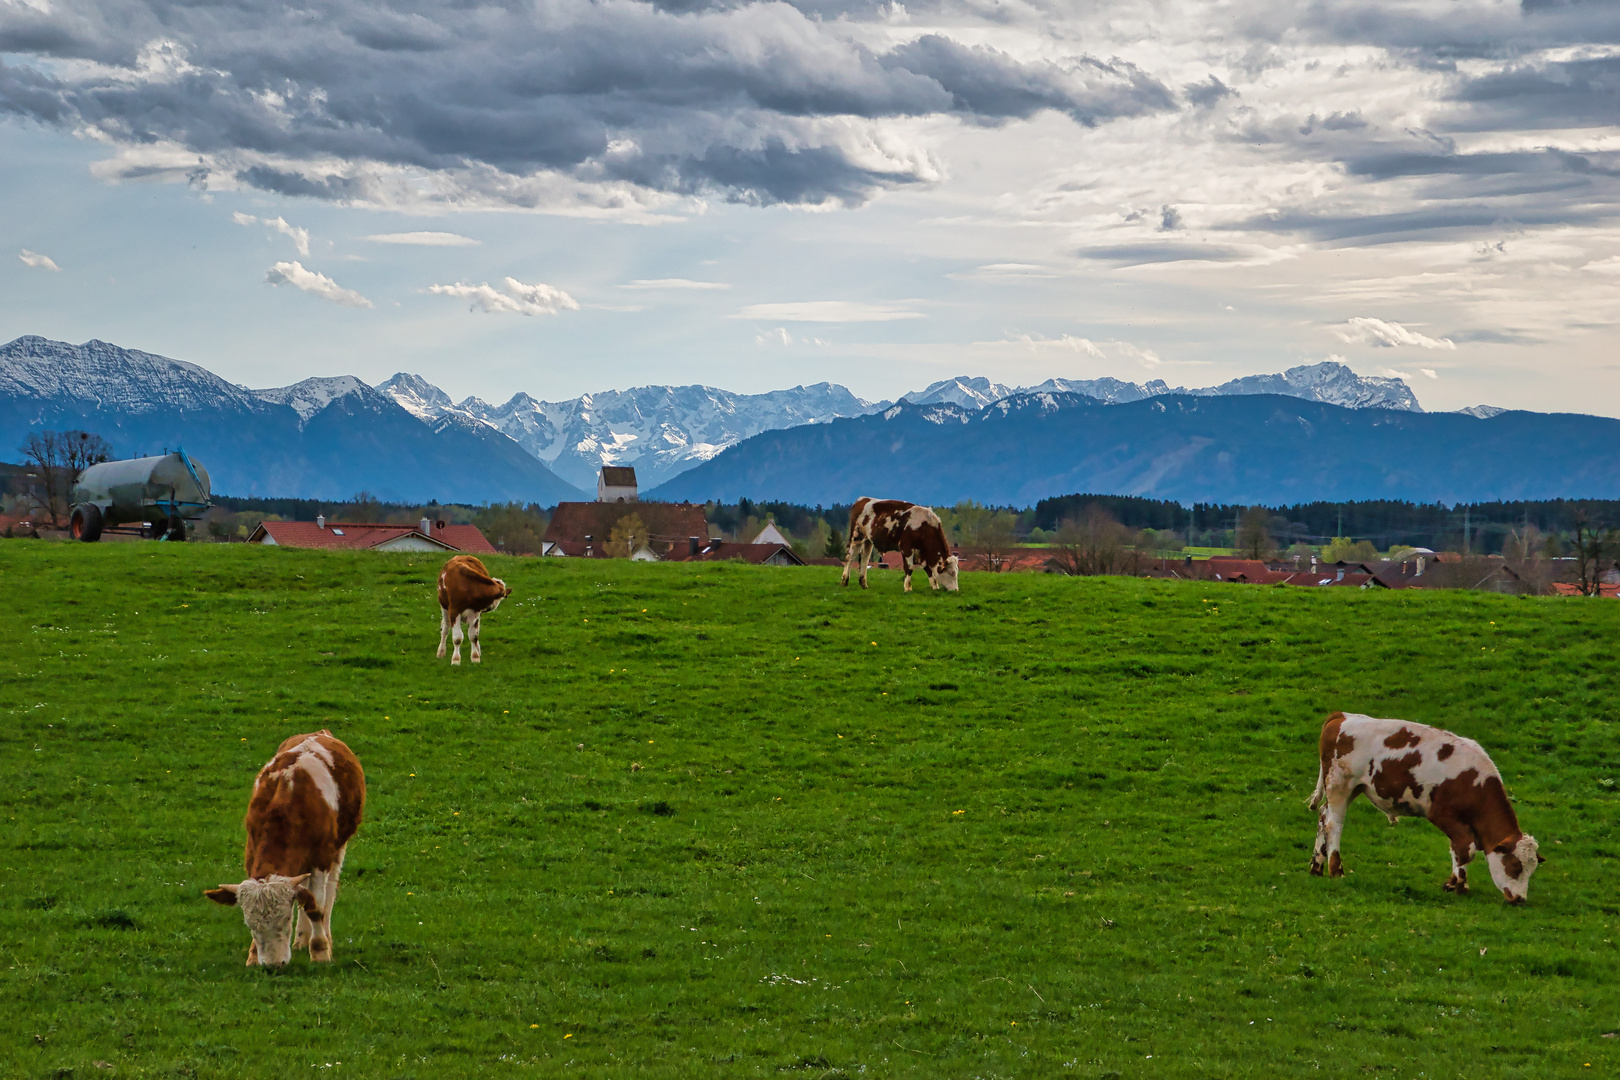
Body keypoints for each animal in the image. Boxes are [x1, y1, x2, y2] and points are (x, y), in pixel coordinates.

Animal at [204, 731, 366, 965]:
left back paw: (325, 936)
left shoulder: (322, 856)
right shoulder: (251, 852)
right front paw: (253, 956)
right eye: (249, 925)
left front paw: (320, 951)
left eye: (286, 918)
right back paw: (301, 939)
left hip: (338, 848)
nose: (273, 965)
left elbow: (316, 907)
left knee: (329, 891)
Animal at [1302, 709, 1542, 906]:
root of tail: (1341, 716)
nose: (1520, 899)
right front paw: (1454, 884)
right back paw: (1336, 870)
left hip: (1351, 788)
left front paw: (1460, 884)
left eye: (1532, 869)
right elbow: (1466, 850)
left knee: (1323, 817)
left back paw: (1317, 867)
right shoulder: (1443, 814)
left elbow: (1460, 850)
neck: (1475, 782)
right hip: (1340, 785)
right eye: (1515, 867)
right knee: (1333, 824)